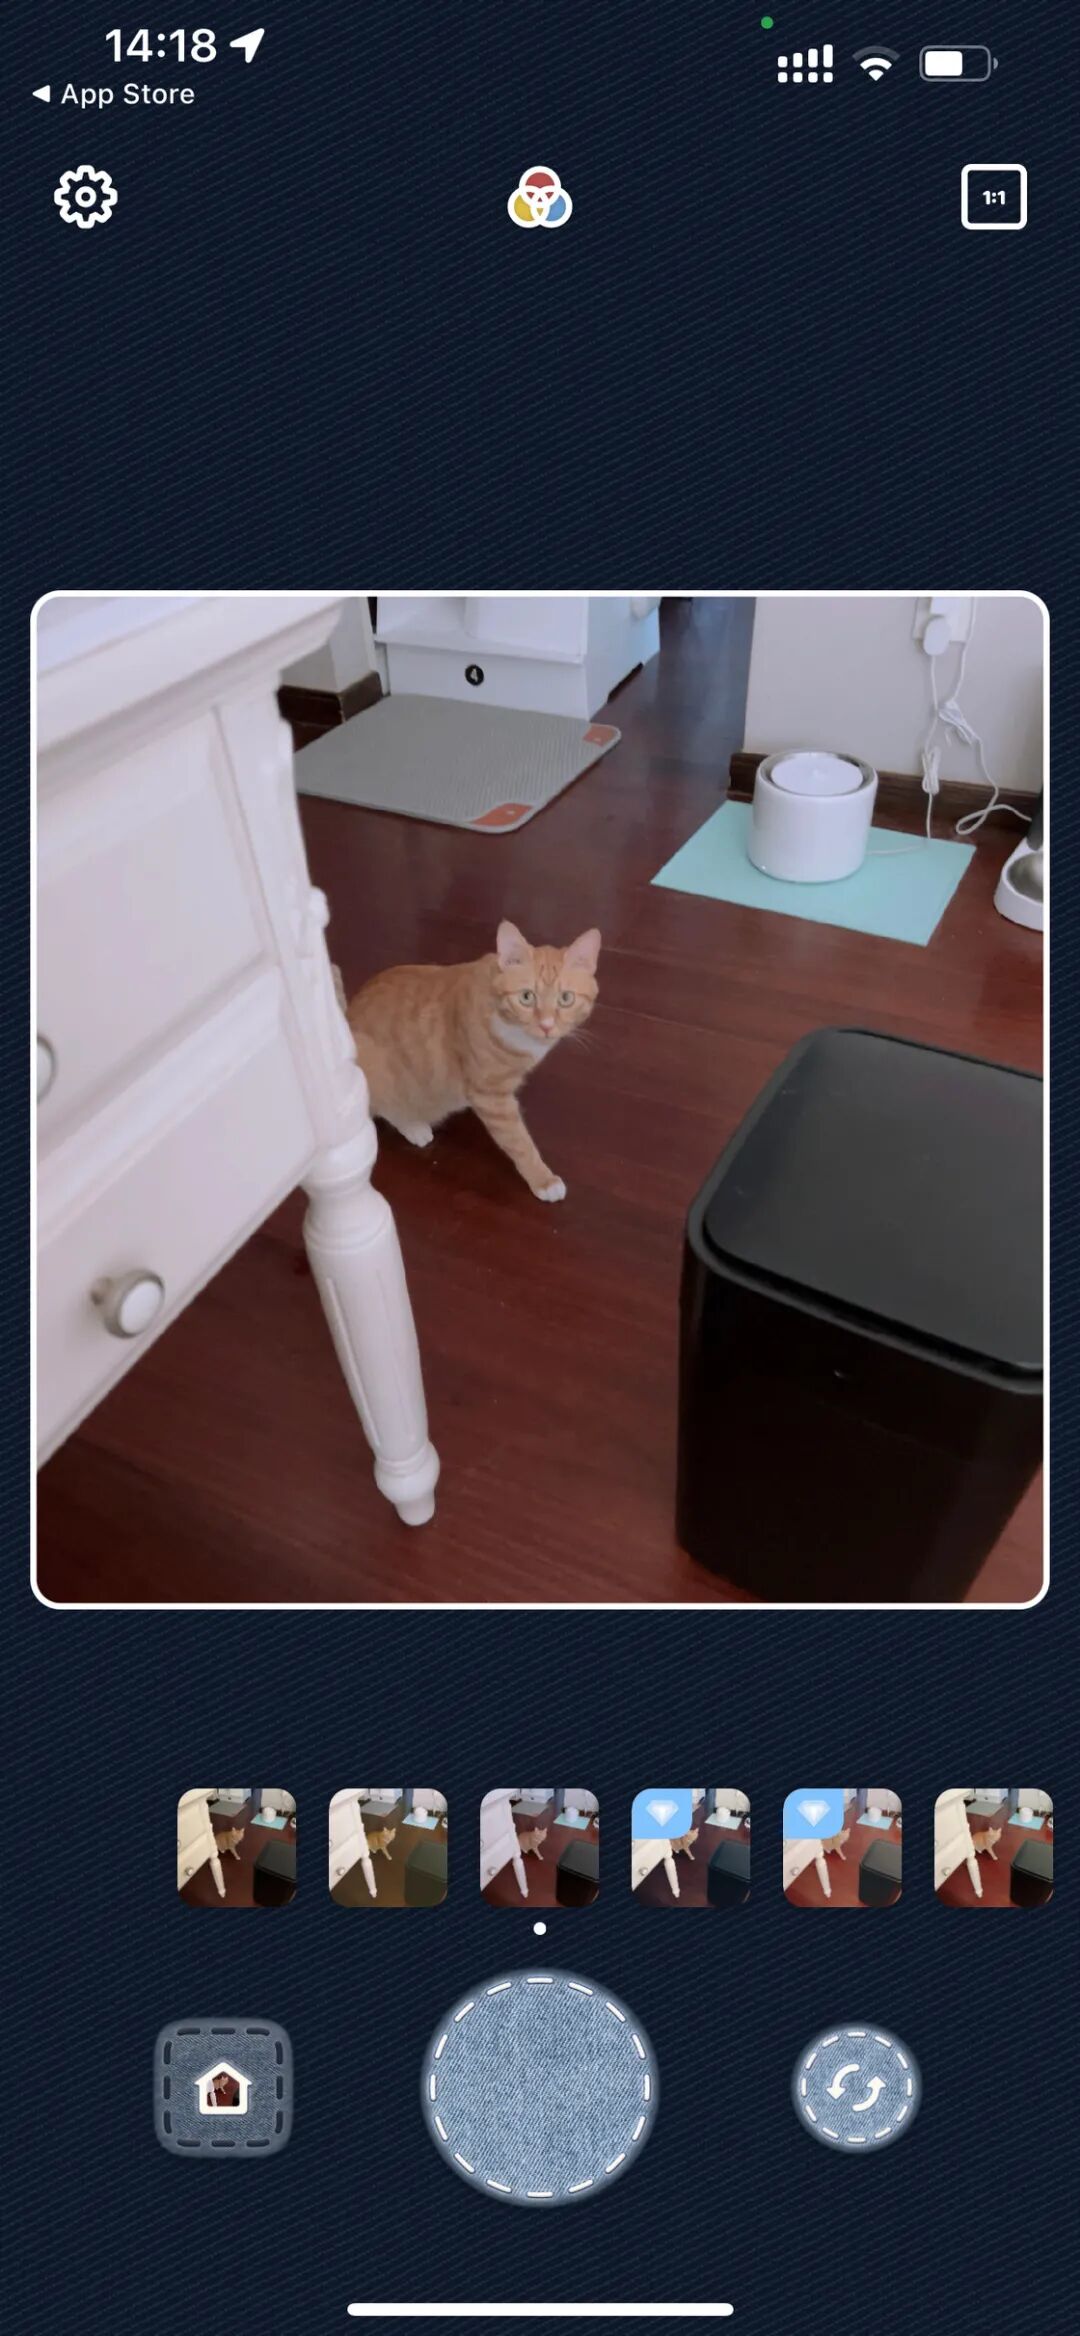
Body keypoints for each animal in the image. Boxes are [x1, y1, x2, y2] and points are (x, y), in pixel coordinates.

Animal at [342, 921, 601, 1203]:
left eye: (566, 998)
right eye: (526, 997)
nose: (546, 1026)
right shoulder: (492, 1098)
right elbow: (520, 1143)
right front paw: (543, 1180)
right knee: (385, 1107)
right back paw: (414, 1125)